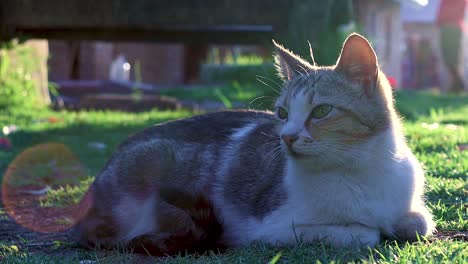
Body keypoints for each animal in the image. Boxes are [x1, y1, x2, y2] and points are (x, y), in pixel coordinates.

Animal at [74, 33, 436, 256]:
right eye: (282, 113)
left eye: (321, 111)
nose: (286, 136)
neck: (360, 168)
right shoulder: (272, 228)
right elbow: (361, 232)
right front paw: (370, 229)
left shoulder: (408, 206)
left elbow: (419, 222)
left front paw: (400, 224)